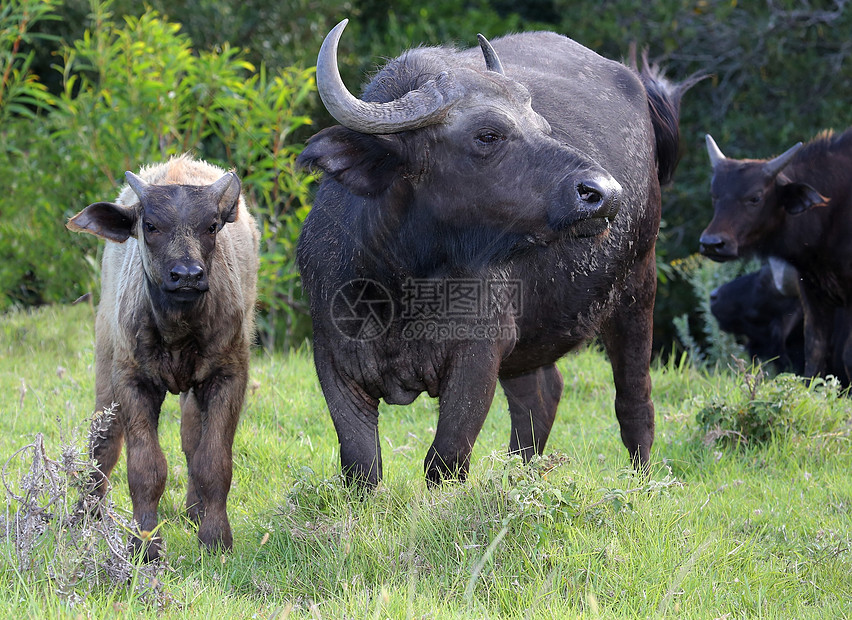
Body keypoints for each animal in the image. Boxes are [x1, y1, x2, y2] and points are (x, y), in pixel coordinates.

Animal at [296, 19, 696, 486]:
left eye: (542, 125)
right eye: (488, 135)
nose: (605, 193)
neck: (400, 283)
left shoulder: (478, 357)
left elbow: (445, 459)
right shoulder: (333, 362)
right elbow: (361, 466)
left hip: (637, 286)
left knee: (634, 402)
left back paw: (642, 482)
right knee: (540, 396)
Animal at [700, 128, 852, 386]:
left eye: (755, 197)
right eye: (714, 196)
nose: (712, 244)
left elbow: (847, 355)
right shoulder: (813, 293)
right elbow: (815, 351)